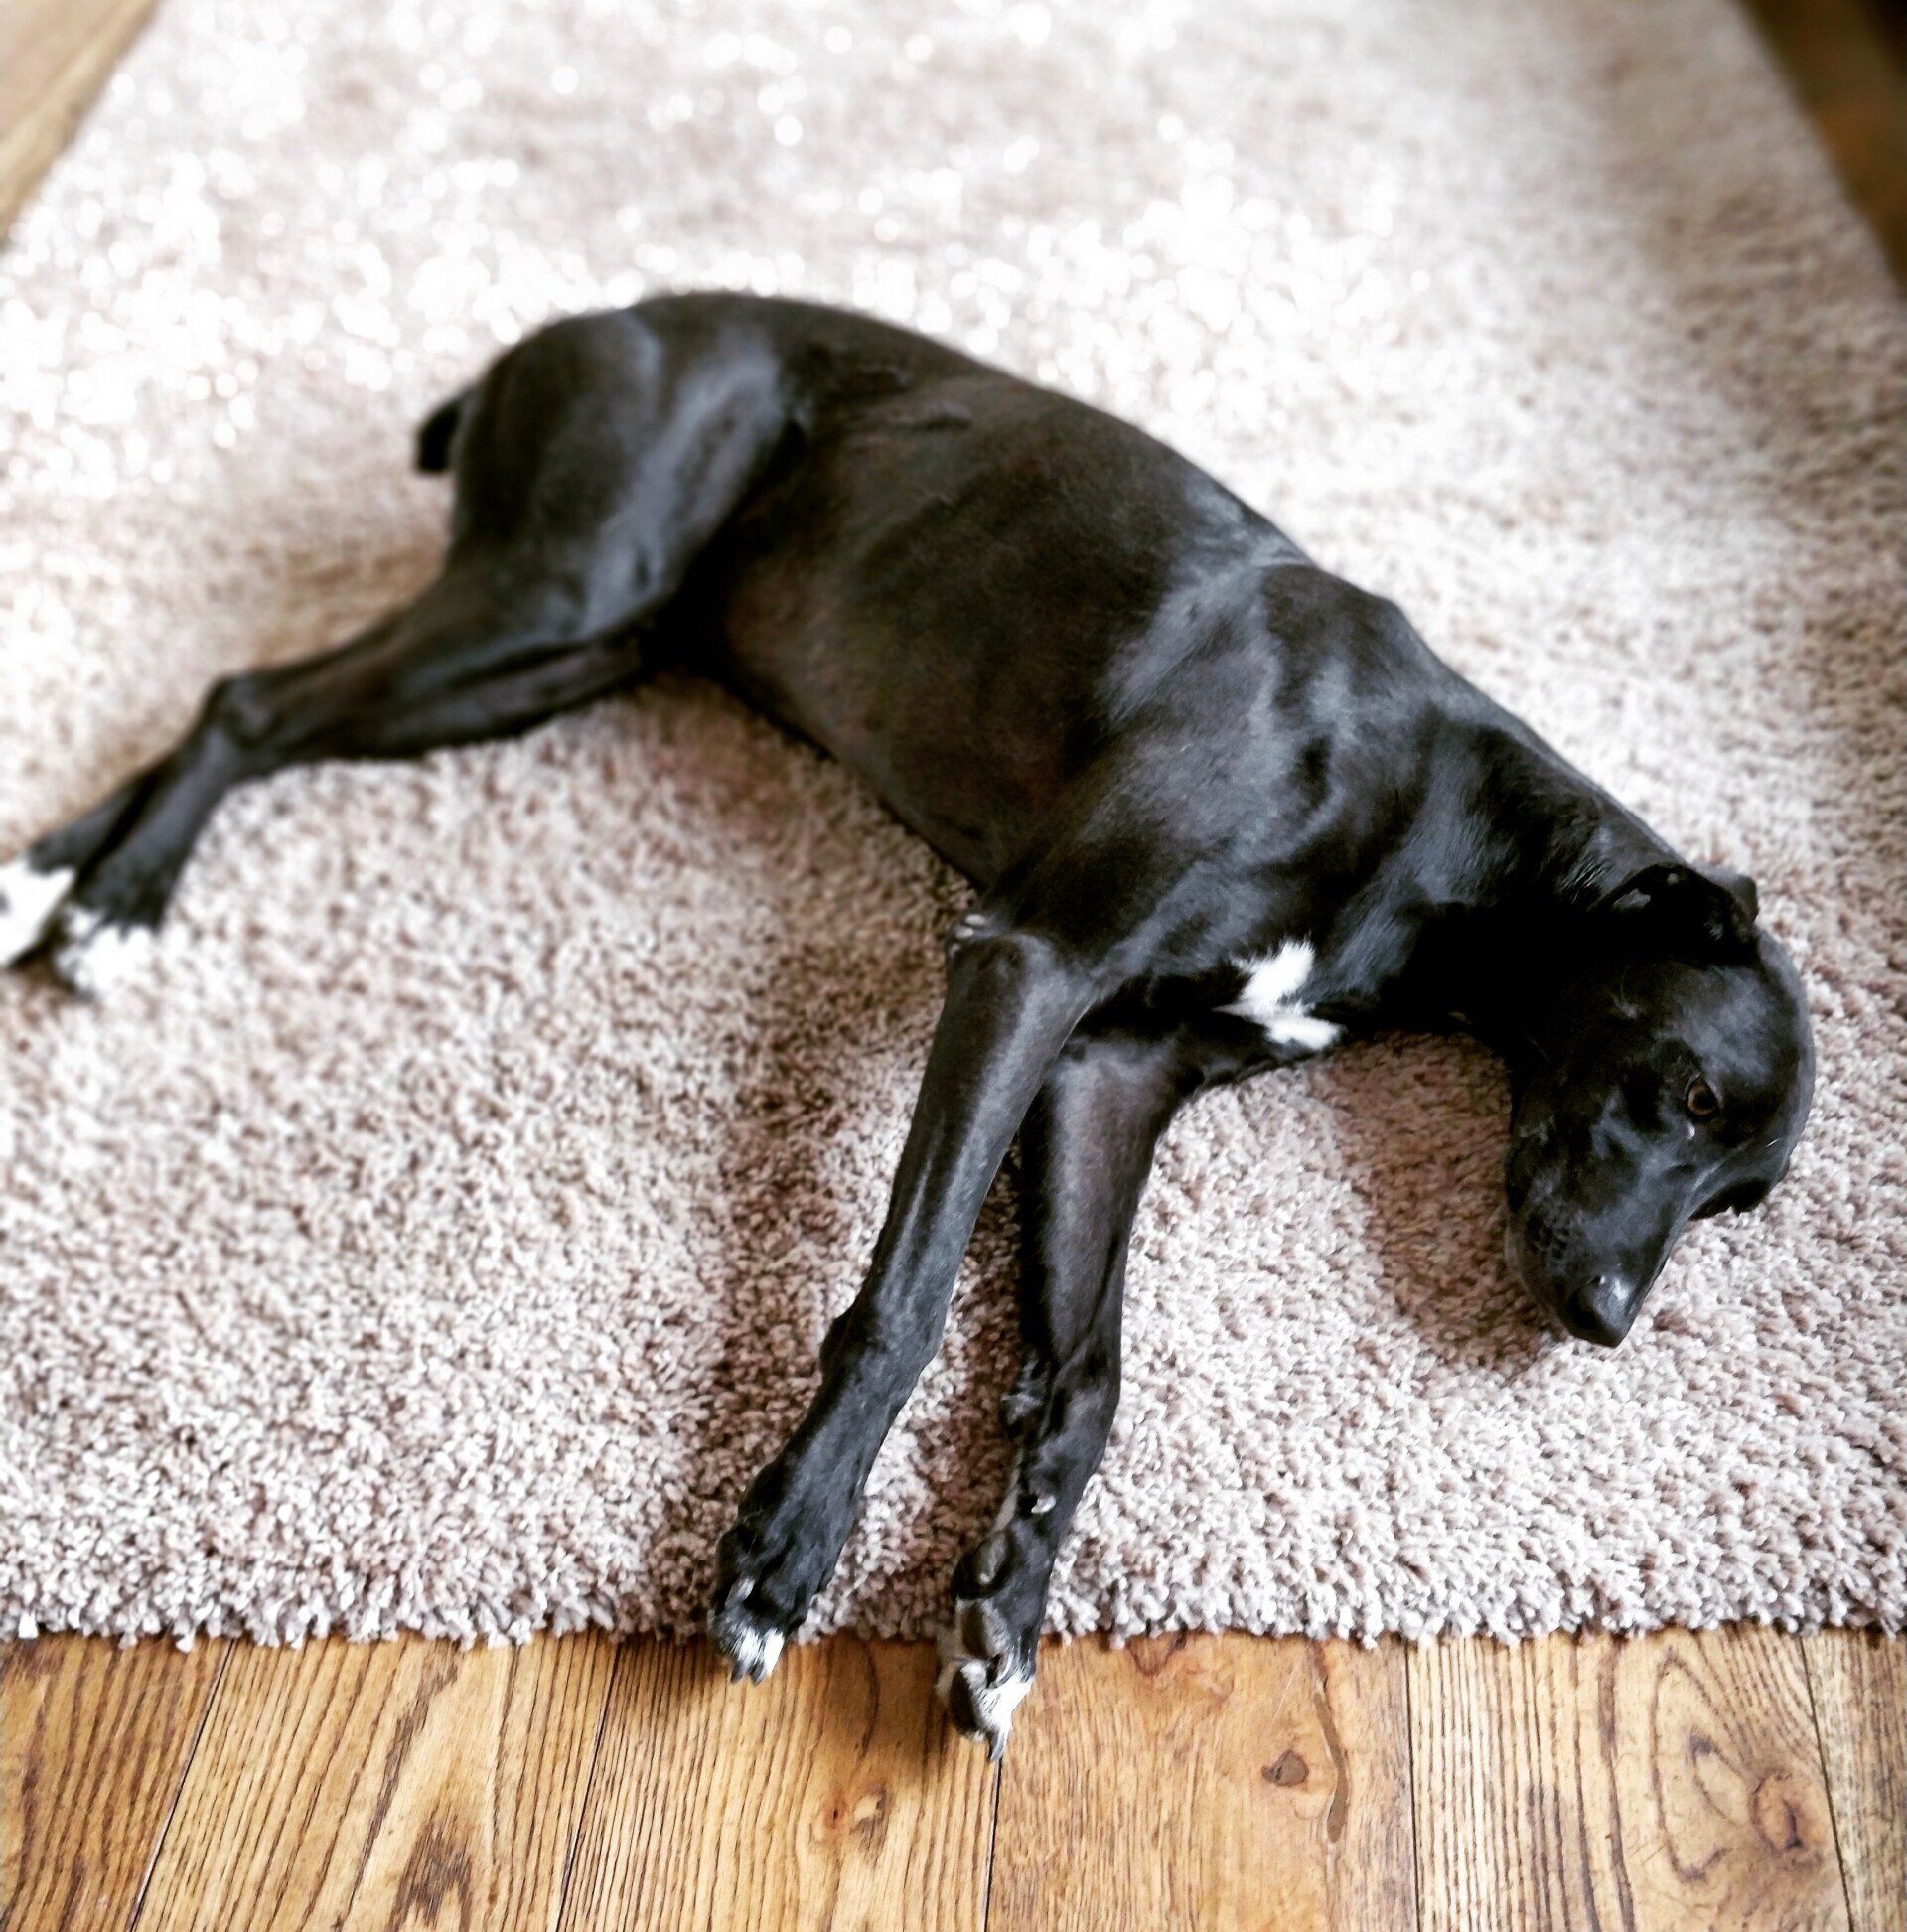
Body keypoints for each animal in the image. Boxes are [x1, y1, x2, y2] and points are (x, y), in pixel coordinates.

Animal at [0, 292, 1814, 1754]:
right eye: (1684, 1089)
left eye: (1745, 1201)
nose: (1603, 1321)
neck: (1433, 817)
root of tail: (570, 327)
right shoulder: (1024, 963)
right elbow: (913, 1298)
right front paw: (785, 1552)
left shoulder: (1111, 1069)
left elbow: (1087, 1375)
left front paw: (1007, 1605)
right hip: (564, 585)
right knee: (248, 699)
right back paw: (114, 899)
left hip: (562, 654)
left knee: (265, 711)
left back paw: (53, 878)